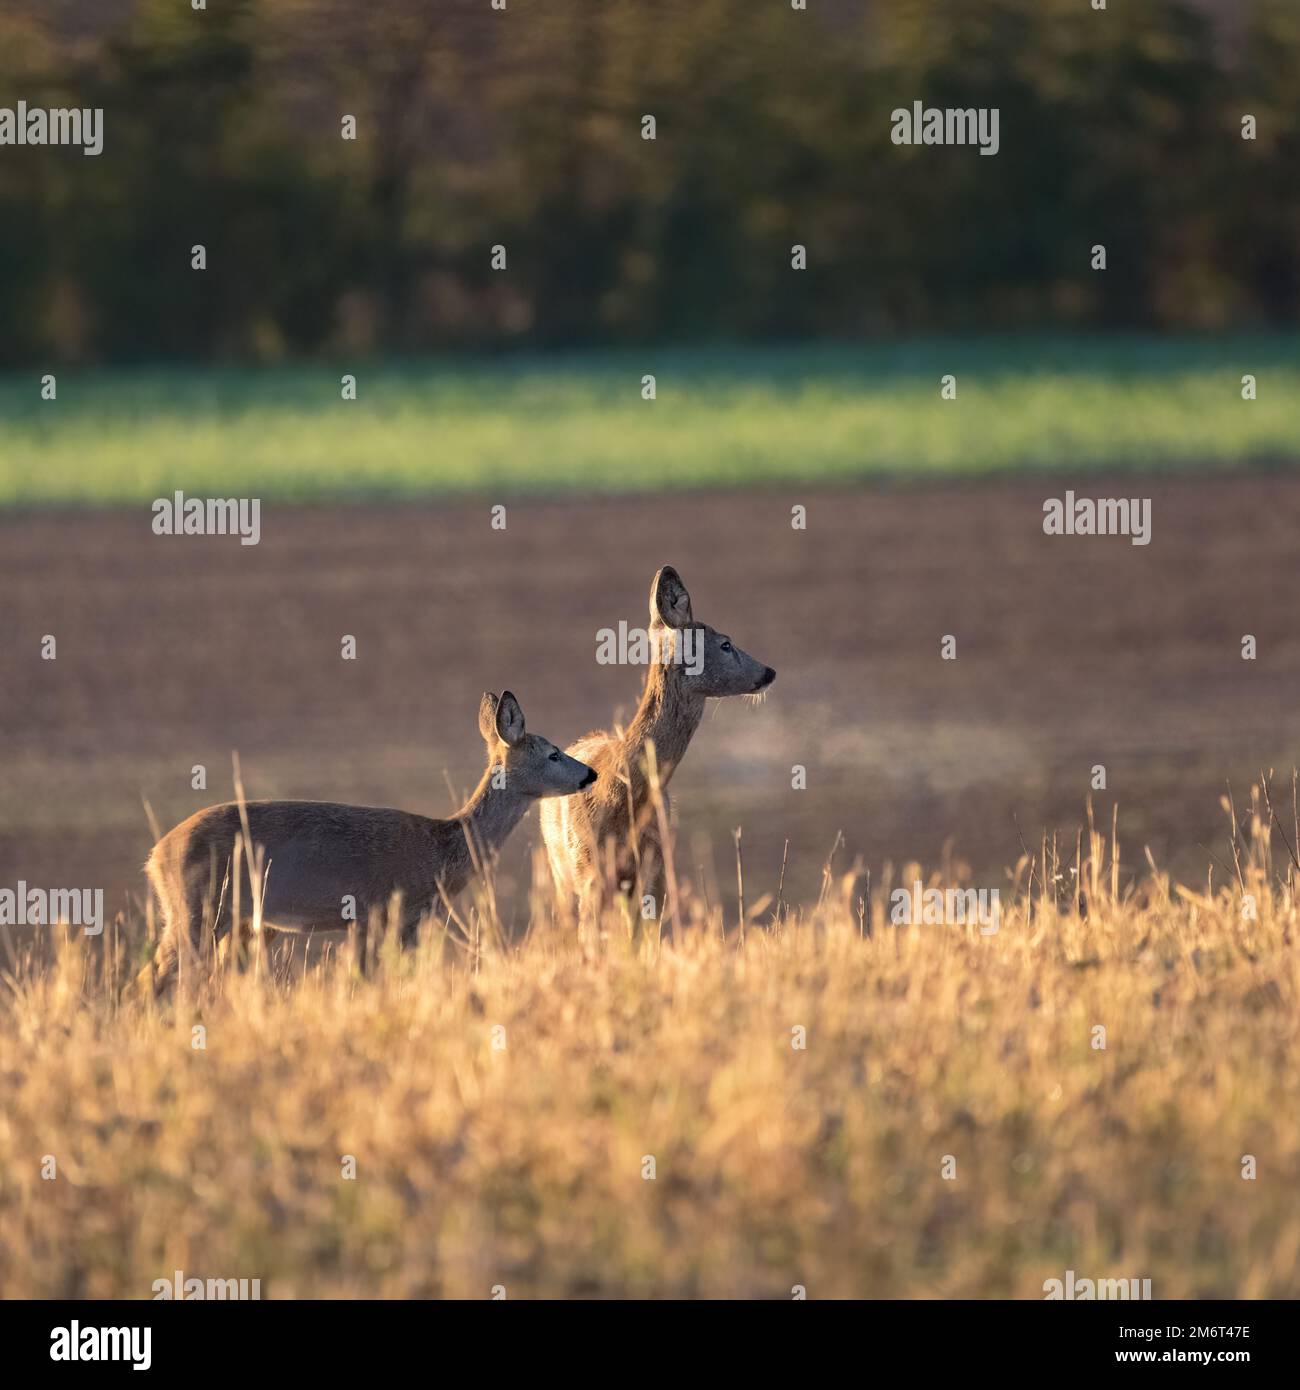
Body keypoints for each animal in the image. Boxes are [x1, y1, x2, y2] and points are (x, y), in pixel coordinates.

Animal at [136, 689, 595, 995]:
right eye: (554, 754)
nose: (590, 774)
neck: (442, 849)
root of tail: (155, 857)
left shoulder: (367, 922)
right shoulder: (393, 912)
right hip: (197, 912)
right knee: (153, 975)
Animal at [539, 564, 773, 934]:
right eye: (725, 643)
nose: (768, 671)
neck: (624, 789)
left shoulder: (655, 870)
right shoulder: (590, 870)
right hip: (561, 870)